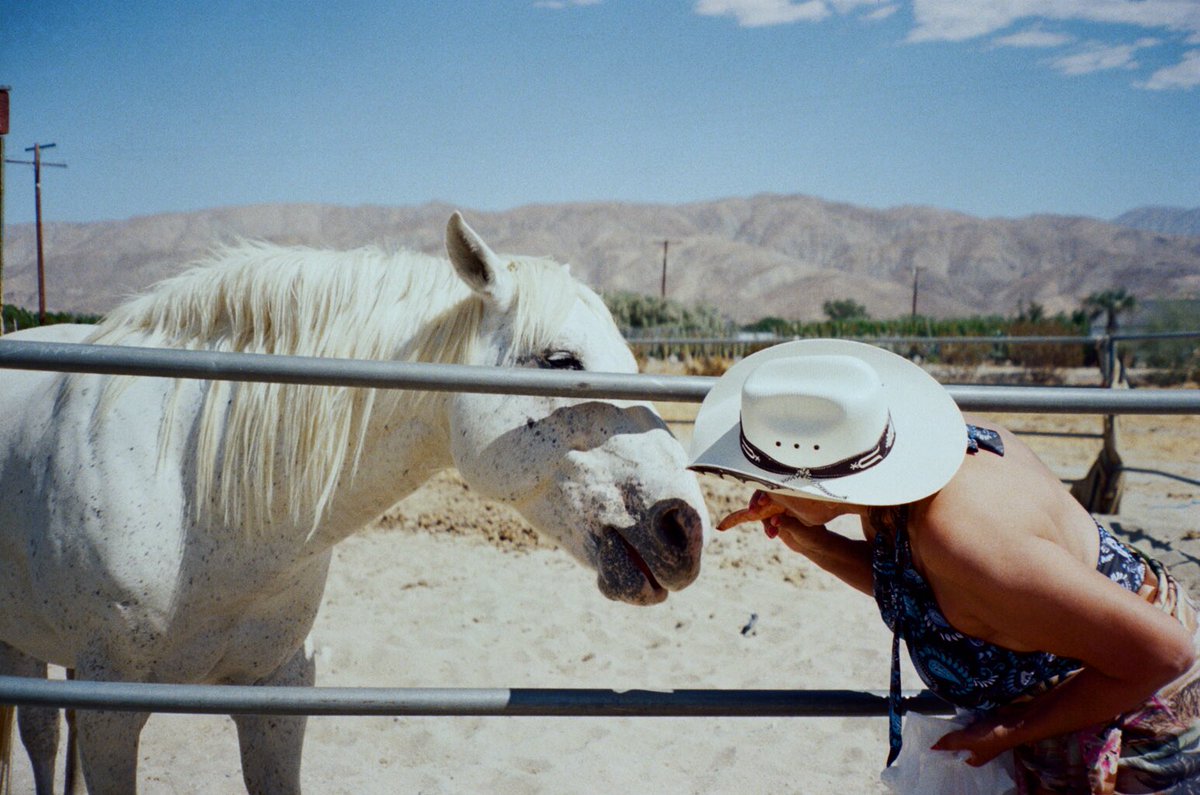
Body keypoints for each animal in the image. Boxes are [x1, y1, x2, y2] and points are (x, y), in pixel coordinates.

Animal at [0, 212, 710, 794]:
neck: (194, 500)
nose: (686, 529)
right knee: (41, 734)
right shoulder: (113, 710)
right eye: (561, 360)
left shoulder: (277, 694)